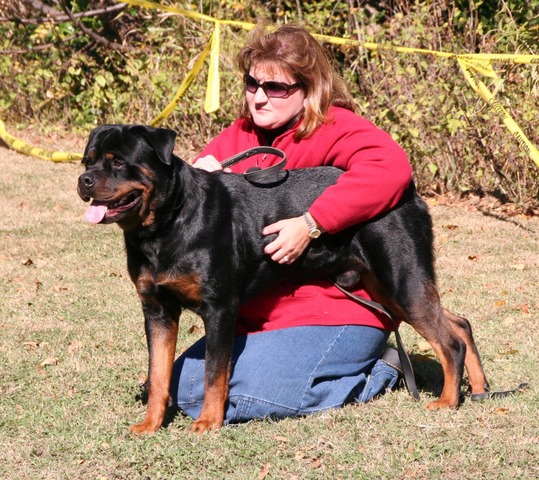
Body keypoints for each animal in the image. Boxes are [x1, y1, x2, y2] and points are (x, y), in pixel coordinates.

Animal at [79, 124, 490, 436]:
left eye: (119, 163)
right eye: (88, 160)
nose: (83, 180)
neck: (165, 226)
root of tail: (411, 193)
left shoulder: (219, 308)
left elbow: (213, 373)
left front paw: (208, 422)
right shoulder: (157, 311)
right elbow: (159, 376)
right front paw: (149, 424)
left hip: (401, 278)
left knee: (449, 340)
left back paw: (448, 401)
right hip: (386, 287)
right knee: (460, 322)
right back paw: (479, 388)